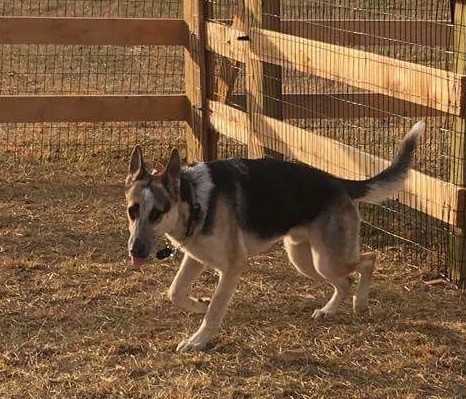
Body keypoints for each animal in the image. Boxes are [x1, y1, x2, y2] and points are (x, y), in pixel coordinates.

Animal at [124, 120, 426, 352]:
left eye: (158, 213)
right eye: (132, 211)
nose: (135, 251)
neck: (194, 198)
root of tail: (339, 183)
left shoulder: (232, 267)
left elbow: (215, 310)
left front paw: (198, 340)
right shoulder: (196, 257)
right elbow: (175, 292)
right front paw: (198, 305)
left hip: (326, 260)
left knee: (368, 260)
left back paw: (360, 302)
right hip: (304, 260)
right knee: (344, 282)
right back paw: (329, 310)